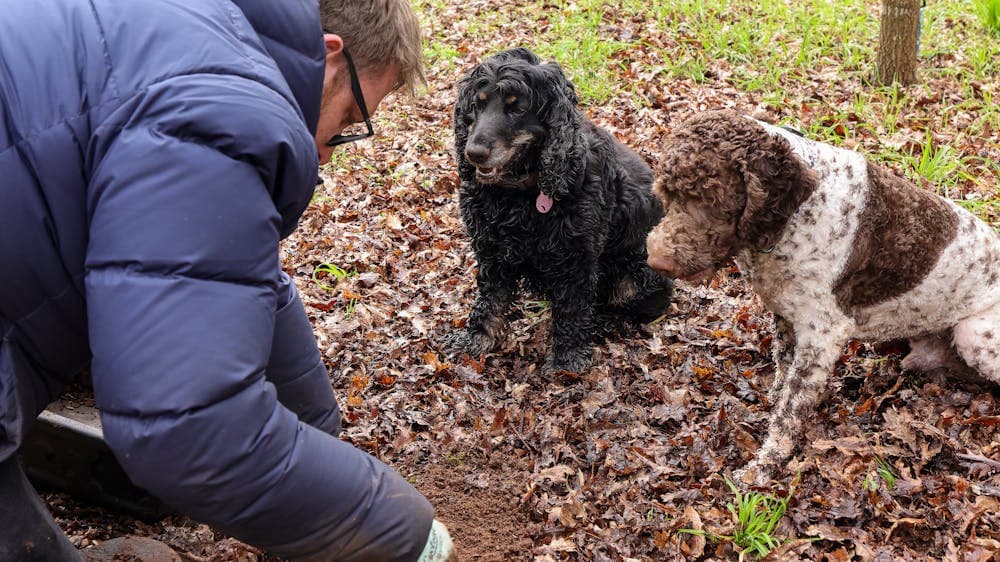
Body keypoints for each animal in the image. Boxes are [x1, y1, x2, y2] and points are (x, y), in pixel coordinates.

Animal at [450, 48, 676, 372]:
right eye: (478, 105)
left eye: (516, 109)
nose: (474, 153)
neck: (520, 194)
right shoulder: (492, 248)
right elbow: (491, 298)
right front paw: (478, 338)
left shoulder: (575, 259)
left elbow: (572, 308)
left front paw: (568, 356)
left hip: (636, 275)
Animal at [648, 108, 1000, 482]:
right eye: (666, 194)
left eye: (710, 199)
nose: (656, 260)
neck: (794, 217)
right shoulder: (786, 313)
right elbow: (782, 365)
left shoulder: (823, 334)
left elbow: (790, 409)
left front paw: (765, 466)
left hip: (973, 333)